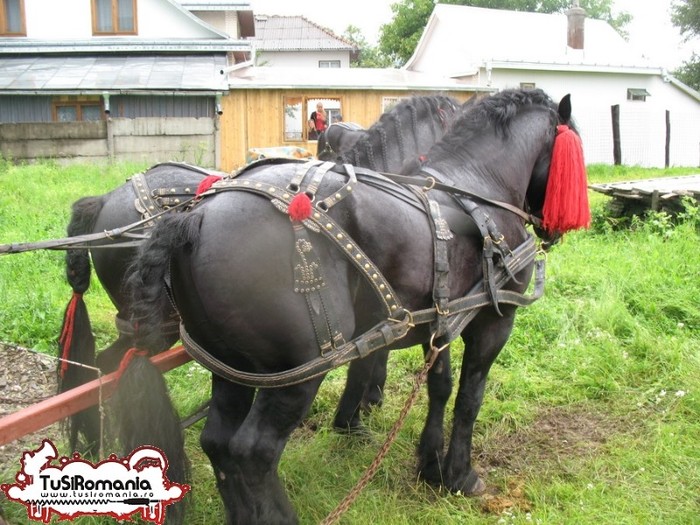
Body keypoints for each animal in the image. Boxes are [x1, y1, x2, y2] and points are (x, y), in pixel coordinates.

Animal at [60, 94, 464, 450]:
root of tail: (104, 200)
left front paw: (366, 403)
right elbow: (371, 359)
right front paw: (360, 412)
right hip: (153, 327)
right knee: (109, 366)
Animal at [121, 88, 592, 520]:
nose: (553, 229)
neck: (477, 191)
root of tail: (194, 217)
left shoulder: (441, 320)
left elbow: (439, 387)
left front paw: (430, 465)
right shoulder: (494, 320)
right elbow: (469, 398)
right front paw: (460, 474)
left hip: (232, 366)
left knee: (217, 443)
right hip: (297, 375)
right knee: (252, 454)